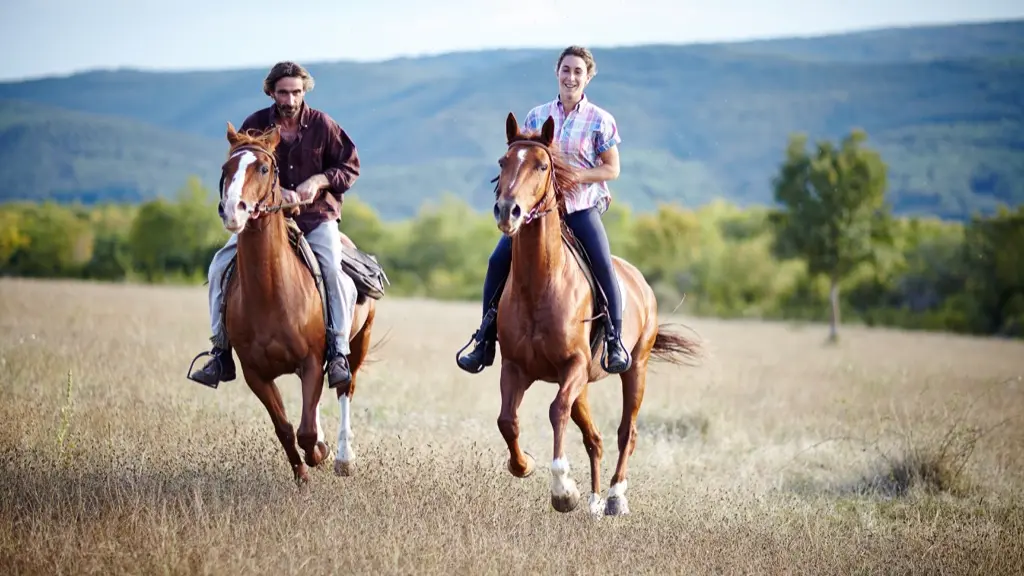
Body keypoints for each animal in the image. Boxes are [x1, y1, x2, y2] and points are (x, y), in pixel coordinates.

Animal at [214, 123, 378, 481]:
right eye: (225, 168)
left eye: (264, 168)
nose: (233, 210)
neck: (269, 295)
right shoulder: (256, 374)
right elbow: (286, 428)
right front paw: (302, 473)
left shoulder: (312, 361)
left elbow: (306, 431)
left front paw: (320, 453)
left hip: (359, 342)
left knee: (345, 389)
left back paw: (343, 458)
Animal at [489, 113, 700, 516]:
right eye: (502, 162)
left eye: (542, 166)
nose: (508, 211)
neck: (540, 283)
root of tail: (641, 283)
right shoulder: (515, 366)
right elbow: (507, 420)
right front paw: (524, 465)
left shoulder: (572, 365)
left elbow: (555, 411)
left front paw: (562, 490)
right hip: (584, 384)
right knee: (595, 438)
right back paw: (594, 502)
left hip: (635, 369)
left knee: (625, 432)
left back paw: (615, 497)